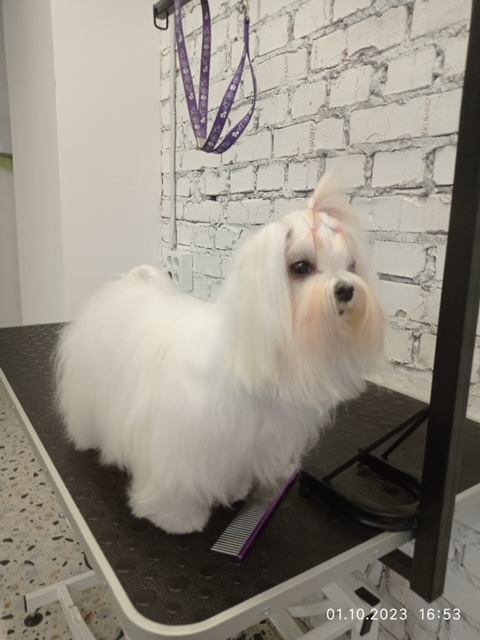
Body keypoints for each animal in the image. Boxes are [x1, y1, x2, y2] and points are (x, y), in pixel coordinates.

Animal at [56, 175, 385, 534]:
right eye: (301, 267)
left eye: (351, 266)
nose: (346, 289)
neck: (244, 358)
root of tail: (128, 284)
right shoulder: (181, 445)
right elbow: (177, 485)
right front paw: (178, 519)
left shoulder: (248, 445)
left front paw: (235, 490)